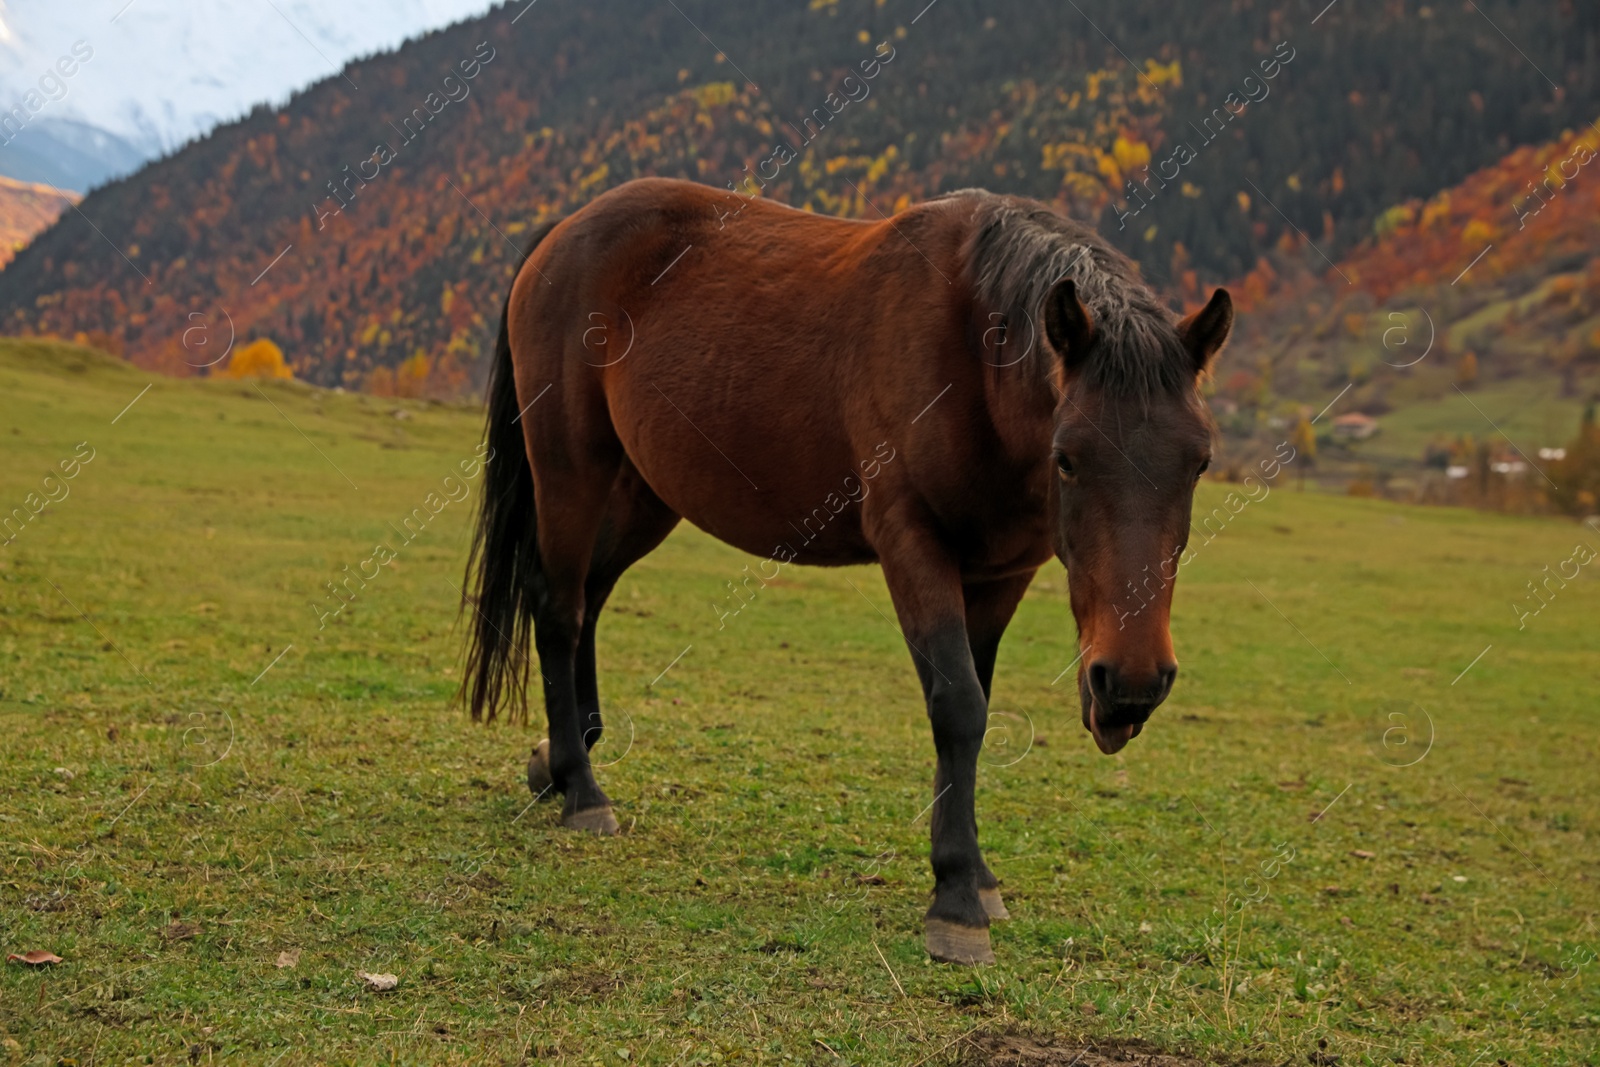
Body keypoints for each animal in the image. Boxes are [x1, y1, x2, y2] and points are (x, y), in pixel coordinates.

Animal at [457, 177, 1228, 966]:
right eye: (1068, 457)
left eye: (1200, 461)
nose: (1129, 685)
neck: (973, 350)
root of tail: (567, 229)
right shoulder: (913, 545)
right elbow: (958, 707)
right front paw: (956, 898)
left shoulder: (999, 573)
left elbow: (976, 704)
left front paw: (977, 878)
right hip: (571, 470)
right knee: (558, 606)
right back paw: (582, 791)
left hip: (646, 491)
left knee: (590, 595)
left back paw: (560, 759)